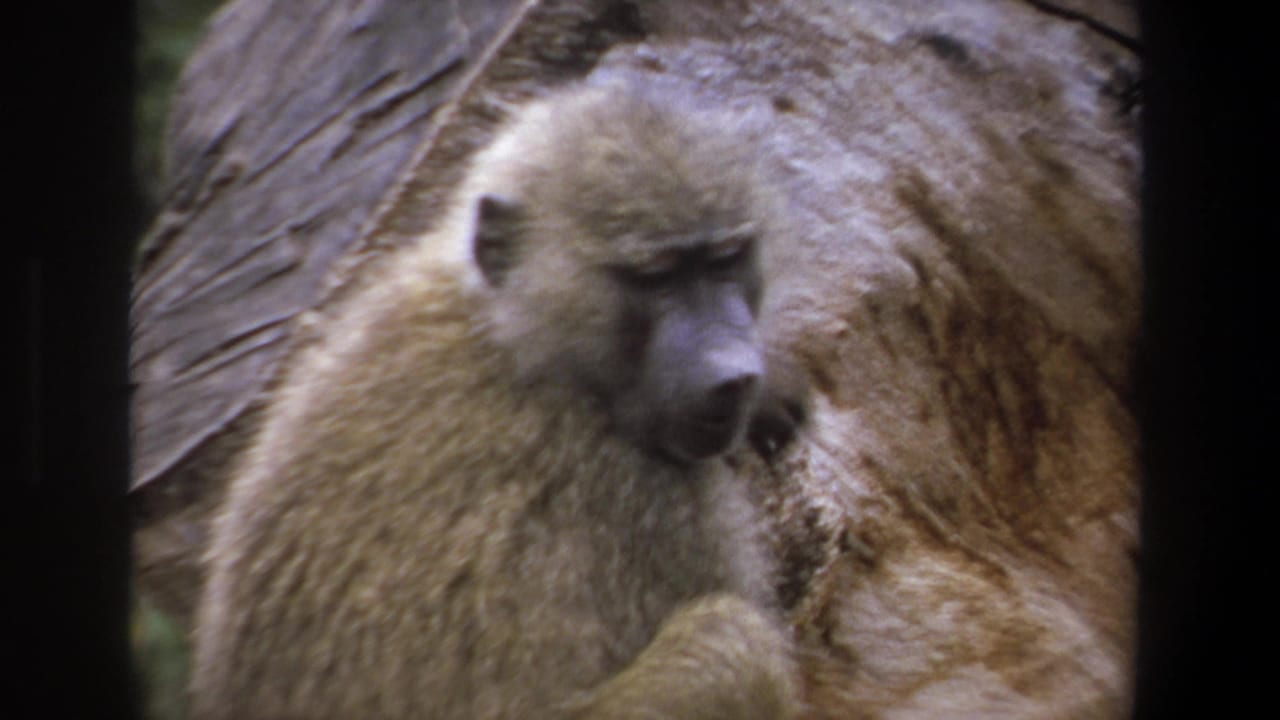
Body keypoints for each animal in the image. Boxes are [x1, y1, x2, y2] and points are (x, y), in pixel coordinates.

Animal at [190, 73, 807, 720]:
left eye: (724, 261)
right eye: (657, 275)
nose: (733, 376)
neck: (519, 336)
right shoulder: (659, 499)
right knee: (735, 647)